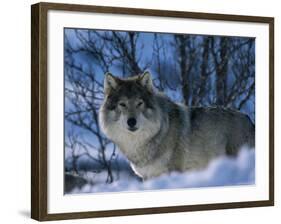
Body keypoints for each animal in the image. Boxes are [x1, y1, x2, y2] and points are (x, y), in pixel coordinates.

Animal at [98, 72, 254, 180]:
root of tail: (248, 119)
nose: (131, 121)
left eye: (139, 103)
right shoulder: (148, 177)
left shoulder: (173, 172)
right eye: (122, 104)